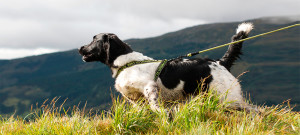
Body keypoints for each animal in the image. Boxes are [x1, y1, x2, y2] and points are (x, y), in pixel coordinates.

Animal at [79, 22, 258, 112]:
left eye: (94, 40)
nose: (80, 48)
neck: (125, 62)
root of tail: (220, 62)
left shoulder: (149, 87)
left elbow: (155, 107)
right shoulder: (136, 99)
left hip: (229, 99)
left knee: (255, 111)